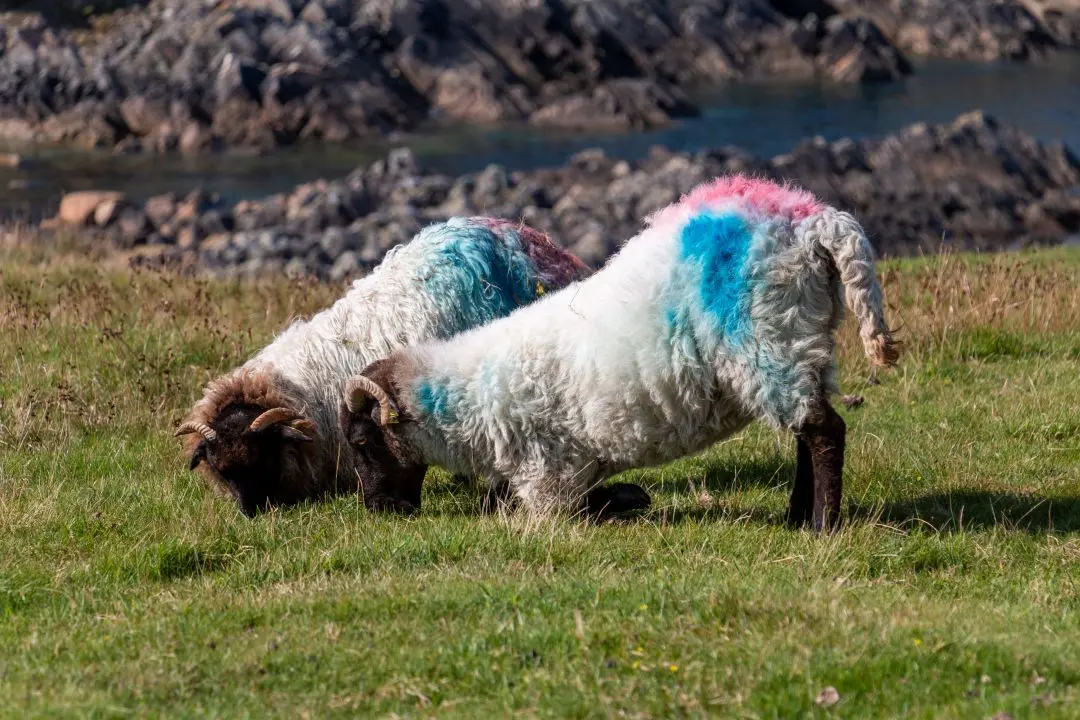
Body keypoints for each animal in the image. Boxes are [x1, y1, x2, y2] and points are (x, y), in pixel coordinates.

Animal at [341, 175, 898, 528]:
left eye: (364, 441)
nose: (378, 511)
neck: (467, 402)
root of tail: (812, 221)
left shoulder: (549, 482)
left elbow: (562, 511)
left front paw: (623, 502)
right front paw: (631, 497)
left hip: (769, 340)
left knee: (824, 431)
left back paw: (822, 525)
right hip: (805, 341)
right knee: (807, 432)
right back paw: (796, 516)